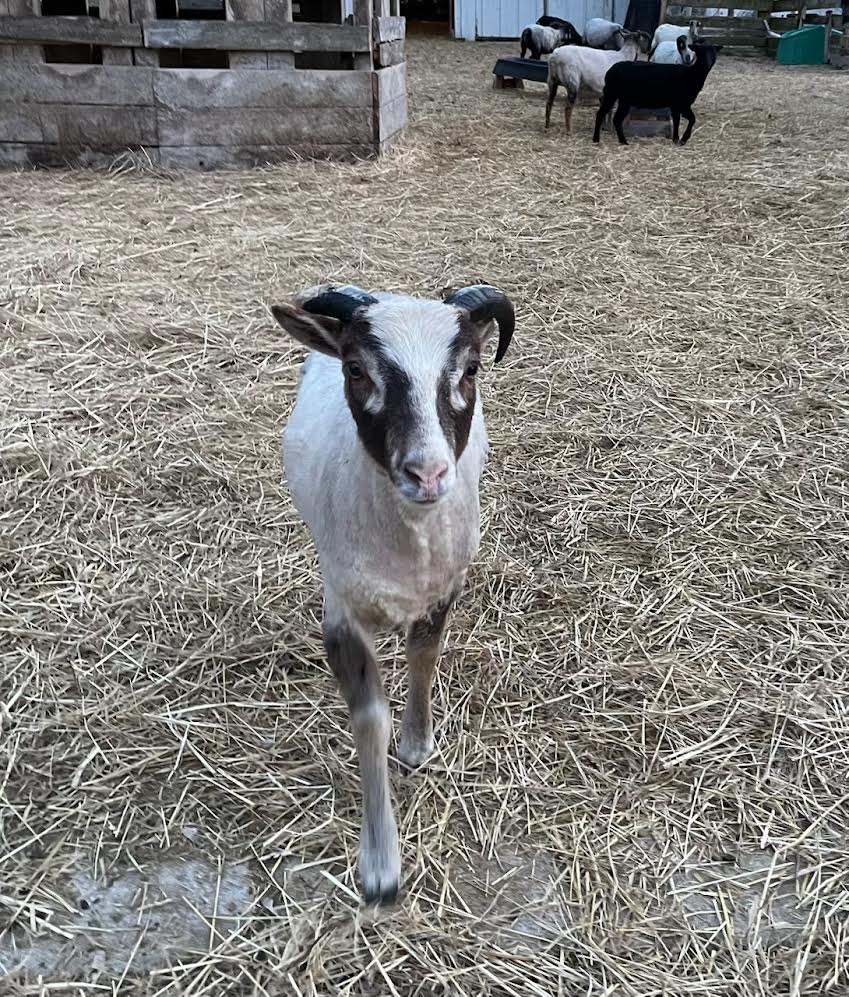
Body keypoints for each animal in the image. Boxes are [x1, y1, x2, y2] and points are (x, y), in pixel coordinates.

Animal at [272, 283, 515, 904]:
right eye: (356, 369)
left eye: (470, 369)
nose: (426, 474)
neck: (407, 543)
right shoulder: (341, 613)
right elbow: (369, 720)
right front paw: (380, 870)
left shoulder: (442, 589)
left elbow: (424, 660)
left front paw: (416, 746)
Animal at [593, 42, 722, 146]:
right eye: (700, 52)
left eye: (714, 52)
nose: (708, 63)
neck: (691, 75)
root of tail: (610, 71)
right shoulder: (682, 103)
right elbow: (692, 119)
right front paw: (683, 139)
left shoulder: (675, 105)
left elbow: (677, 121)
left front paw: (676, 139)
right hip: (613, 94)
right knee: (605, 115)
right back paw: (600, 139)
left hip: (621, 99)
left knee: (612, 117)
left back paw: (619, 141)